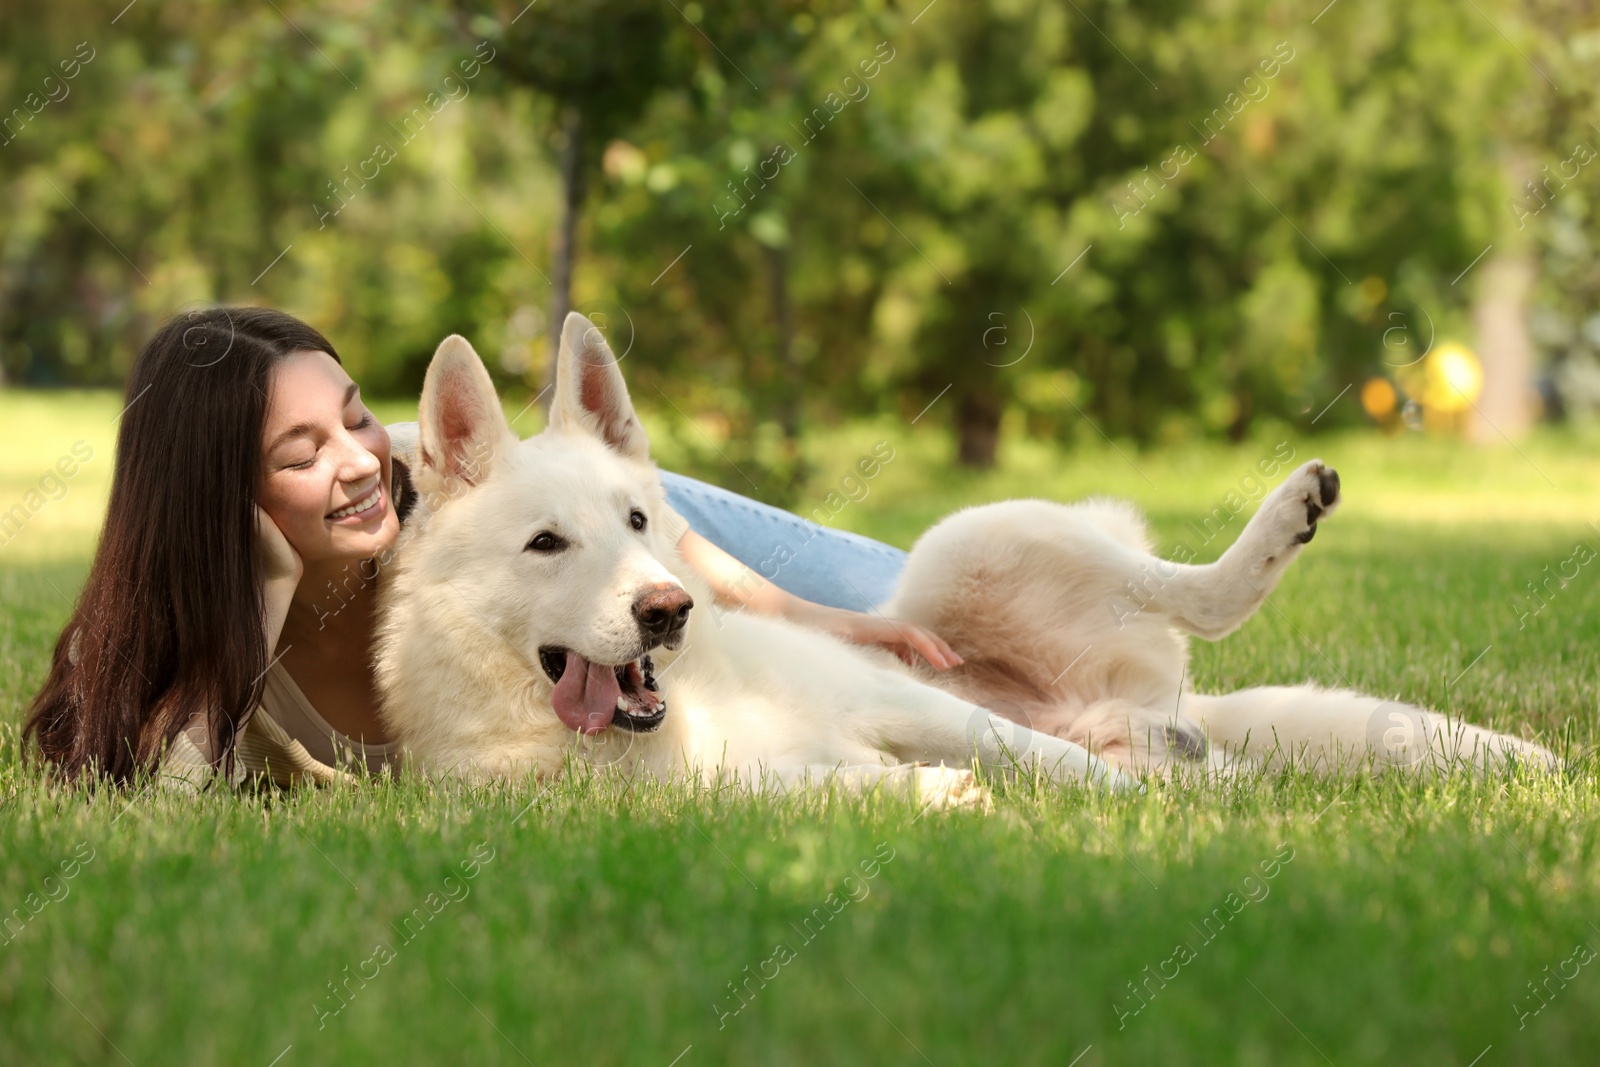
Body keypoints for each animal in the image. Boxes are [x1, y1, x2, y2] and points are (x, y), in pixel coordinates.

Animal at [374, 308, 1548, 799]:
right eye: (546, 543)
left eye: (634, 523)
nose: (668, 608)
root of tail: (1149, 702)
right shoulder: (685, 805)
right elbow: (830, 788)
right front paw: (933, 798)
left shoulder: (905, 696)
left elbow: (1042, 760)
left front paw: (1147, 813)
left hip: (970, 539)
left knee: (1191, 598)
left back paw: (1287, 519)